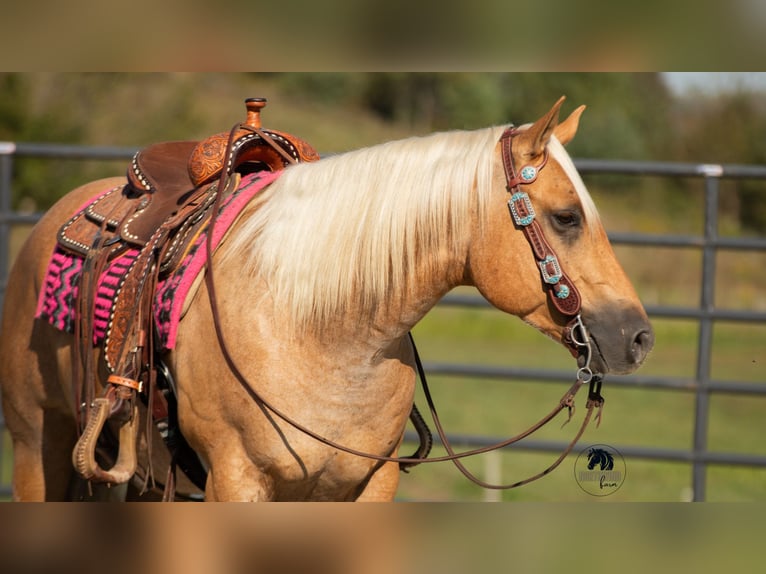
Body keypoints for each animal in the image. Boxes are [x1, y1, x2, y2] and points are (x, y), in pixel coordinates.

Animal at [0, 97, 653, 501]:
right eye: (566, 217)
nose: (638, 337)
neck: (317, 331)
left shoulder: (369, 487)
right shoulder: (236, 482)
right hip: (37, 444)